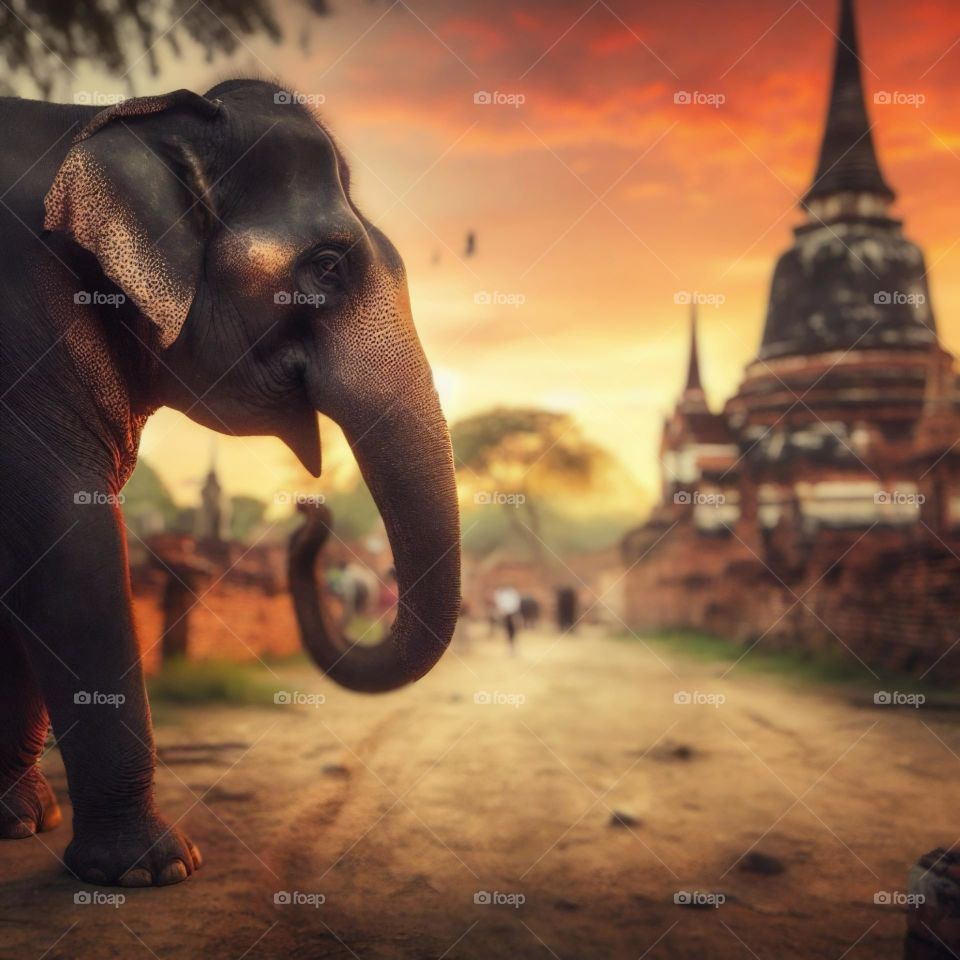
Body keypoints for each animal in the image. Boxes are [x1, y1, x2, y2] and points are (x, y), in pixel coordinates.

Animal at [0, 81, 461, 887]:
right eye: (328, 267)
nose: (311, 509)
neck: (119, 121)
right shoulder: (25, 328)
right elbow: (65, 535)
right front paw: (153, 870)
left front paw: (23, 822)